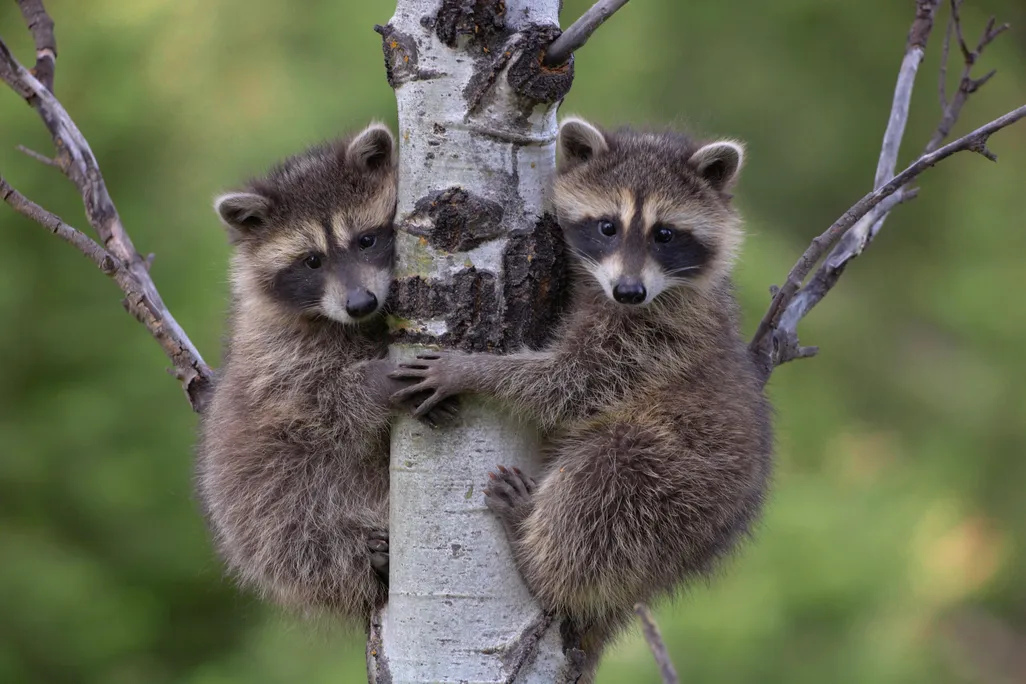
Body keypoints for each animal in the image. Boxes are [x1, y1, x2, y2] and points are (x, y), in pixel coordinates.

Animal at [195, 123, 454, 624]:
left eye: (365, 240)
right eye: (311, 261)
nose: (360, 303)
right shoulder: (277, 356)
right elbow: (318, 405)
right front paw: (377, 381)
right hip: (254, 502)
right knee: (296, 529)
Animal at [390, 117, 773, 673]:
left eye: (665, 234)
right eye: (607, 226)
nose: (630, 291)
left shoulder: (655, 339)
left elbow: (571, 384)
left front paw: (474, 370)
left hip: (679, 484)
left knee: (602, 485)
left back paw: (536, 557)